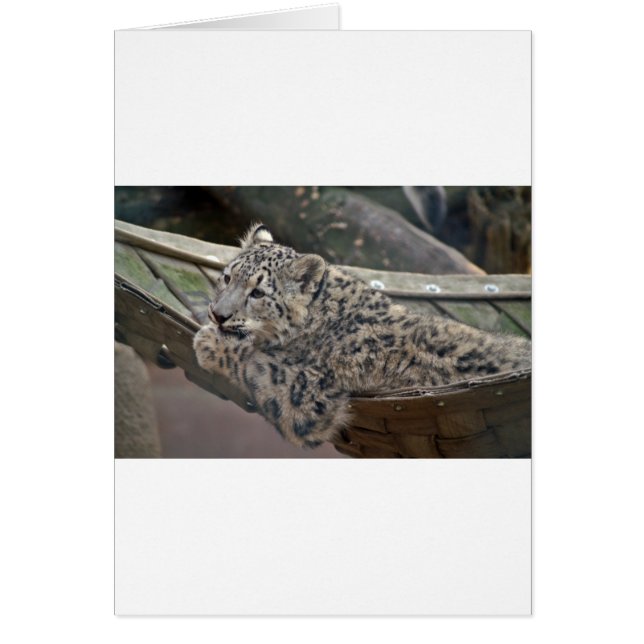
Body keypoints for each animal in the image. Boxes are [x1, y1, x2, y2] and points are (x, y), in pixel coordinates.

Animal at [193, 223, 531, 448]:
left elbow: (252, 361)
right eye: (227, 277)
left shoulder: (304, 393)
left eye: (258, 292)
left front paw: (208, 342)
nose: (218, 314)